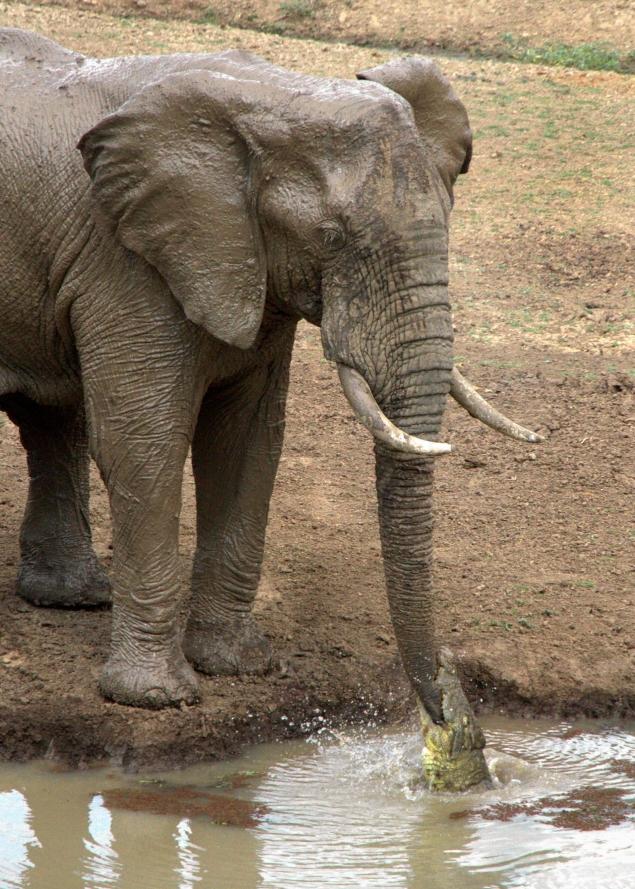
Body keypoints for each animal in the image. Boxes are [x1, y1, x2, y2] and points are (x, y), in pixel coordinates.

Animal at [0, 29, 541, 789]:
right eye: (334, 238)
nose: (446, 714)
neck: (277, 99)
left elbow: (248, 442)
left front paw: (237, 665)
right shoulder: (126, 257)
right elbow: (147, 440)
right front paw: (157, 699)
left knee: (53, 417)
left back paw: (73, 598)